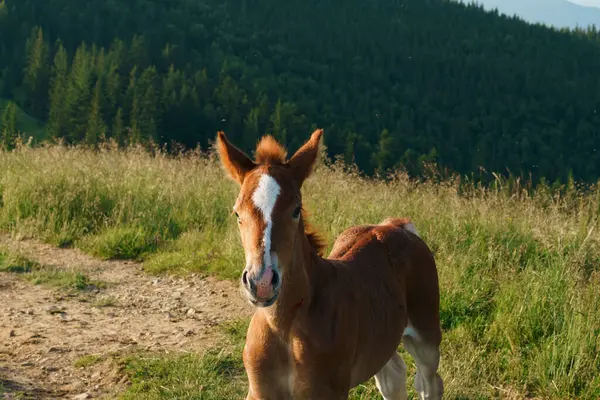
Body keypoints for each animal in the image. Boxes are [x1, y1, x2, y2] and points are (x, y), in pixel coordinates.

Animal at [218, 130, 442, 398]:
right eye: (237, 213)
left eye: (296, 210)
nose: (261, 282)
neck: (283, 327)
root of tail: (395, 226)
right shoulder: (260, 392)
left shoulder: (328, 391)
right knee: (393, 375)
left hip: (426, 335)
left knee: (429, 383)